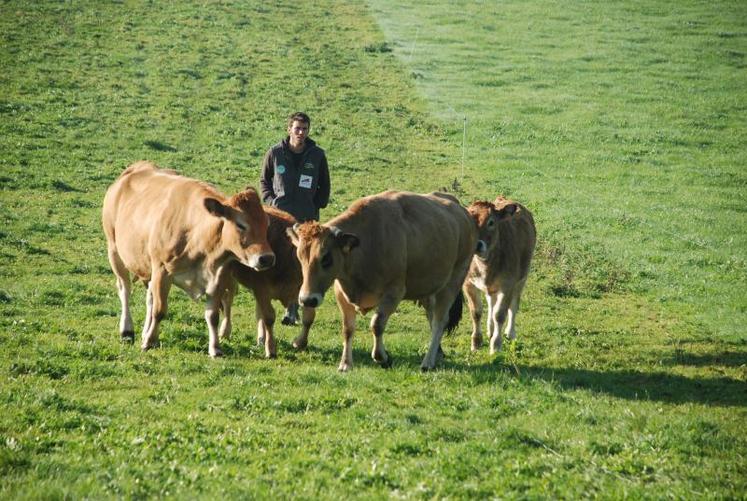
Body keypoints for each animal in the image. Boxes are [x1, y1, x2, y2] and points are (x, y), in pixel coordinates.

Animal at [101, 160, 274, 356]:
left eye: (266, 223)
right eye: (240, 224)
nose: (266, 258)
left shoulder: (217, 276)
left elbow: (212, 315)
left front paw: (215, 348)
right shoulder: (162, 270)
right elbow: (159, 310)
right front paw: (149, 342)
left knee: (149, 298)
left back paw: (145, 331)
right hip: (114, 251)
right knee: (125, 290)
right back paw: (127, 330)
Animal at [228, 205, 316, 358]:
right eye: (302, 253)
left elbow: (309, 318)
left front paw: (300, 343)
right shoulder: (262, 289)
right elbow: (269, 317)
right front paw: (271, 349)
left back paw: (261, 339)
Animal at [286, 190, 480, 372]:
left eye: (326, 258)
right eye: (300, 256)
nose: (307, 300)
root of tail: (462, 212)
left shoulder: (393, 293)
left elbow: (376, 324)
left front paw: (382, 357)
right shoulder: (341, 293)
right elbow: (348, 329)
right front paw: (345, 364)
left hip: (452, 282)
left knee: (440, 321)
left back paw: (427, 362)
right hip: (429, 290)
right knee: (432, 318)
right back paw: (437, 353)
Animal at [464, 194, 536, 352]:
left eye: (491, 222)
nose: (477, 244)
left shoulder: (507, 284)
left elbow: (500, 314)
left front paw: (496, 345)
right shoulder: (467, 283)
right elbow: (476, 312)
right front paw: (476, 342)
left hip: (522, 278)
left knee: (513, 306)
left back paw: (510, 333)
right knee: (491, 301)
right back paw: (490, 329)